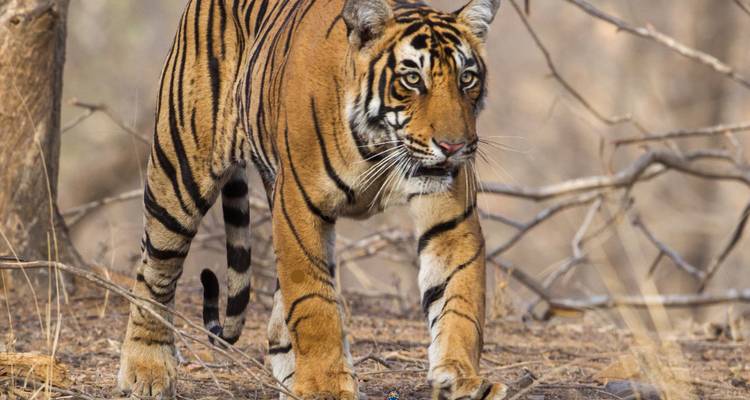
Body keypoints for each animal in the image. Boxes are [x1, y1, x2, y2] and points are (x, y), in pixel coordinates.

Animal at [117, 0, 505, 399]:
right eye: (412, 79)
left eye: (467, 79)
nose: (453, 147)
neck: (380, 146)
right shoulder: (299, 208)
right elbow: (314, 305)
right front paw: (326, 386)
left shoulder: (450, 220)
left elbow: (459, 299)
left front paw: (462, 378)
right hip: (180, 171)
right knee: (155, 272)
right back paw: (146, 369)